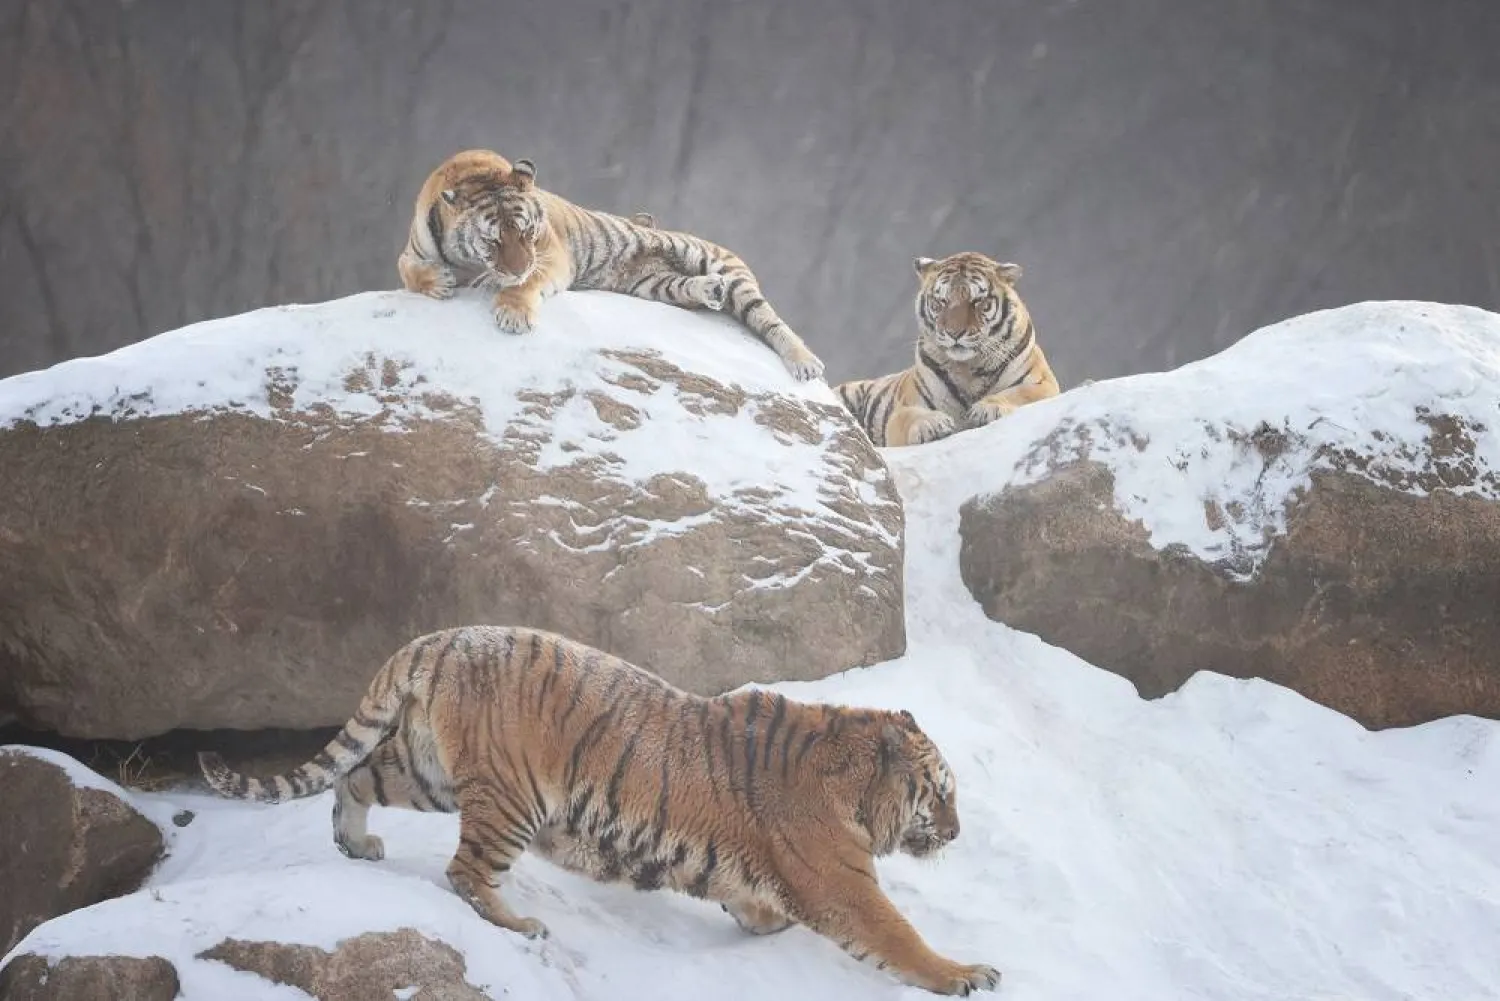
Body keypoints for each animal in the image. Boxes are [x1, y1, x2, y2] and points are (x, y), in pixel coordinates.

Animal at [196, 625, 1000, 996]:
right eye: (943, 792)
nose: (959, 832)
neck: (851, 778)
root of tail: (441, 638)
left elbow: (758, 904)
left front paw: (761, 921)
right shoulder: (842, 882)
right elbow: (896, 934)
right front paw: (965, 973)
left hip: (430, 772)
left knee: (356, 777)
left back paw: (355, 845)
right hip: (510, 798)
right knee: (465, 873)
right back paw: (519, 922)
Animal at [397, 149, 826, 382]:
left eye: (527, 231)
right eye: (493, 240)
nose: (516, 267)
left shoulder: (552, 256)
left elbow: (524, 285)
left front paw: (513, 313)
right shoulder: (411, 249)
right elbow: (410, 271)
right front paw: (439, 282)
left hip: (719, 266)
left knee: (771, 321)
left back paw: (805, 364)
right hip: (656, 284)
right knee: (690, 291)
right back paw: (709, 290)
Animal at [834, 252, 1060, 447]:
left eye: (977, 301)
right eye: (941, 302)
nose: (954, 333)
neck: (968, 368)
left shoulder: (1044, 383)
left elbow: (1018, 393)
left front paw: (987, 408)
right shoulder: (904, 408)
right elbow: (909, 416)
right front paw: (930, 424)